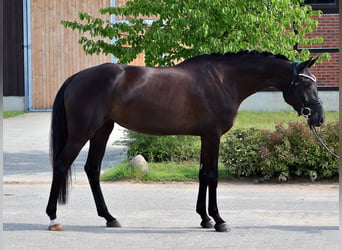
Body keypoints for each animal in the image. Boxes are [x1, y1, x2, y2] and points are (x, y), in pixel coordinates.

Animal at [45, 50, 324, 232]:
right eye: (304, 84)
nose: (319, 117)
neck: (224, 80)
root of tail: (76, 77)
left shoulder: (205, 136)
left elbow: (202, 174)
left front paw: (205, 218)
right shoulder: (212, 135)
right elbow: (212, 175)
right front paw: (219, 220)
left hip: (102, 130)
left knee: (92, 169)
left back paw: (109, 217)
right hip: (82, 132)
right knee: (61, 164)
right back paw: (53, 217)